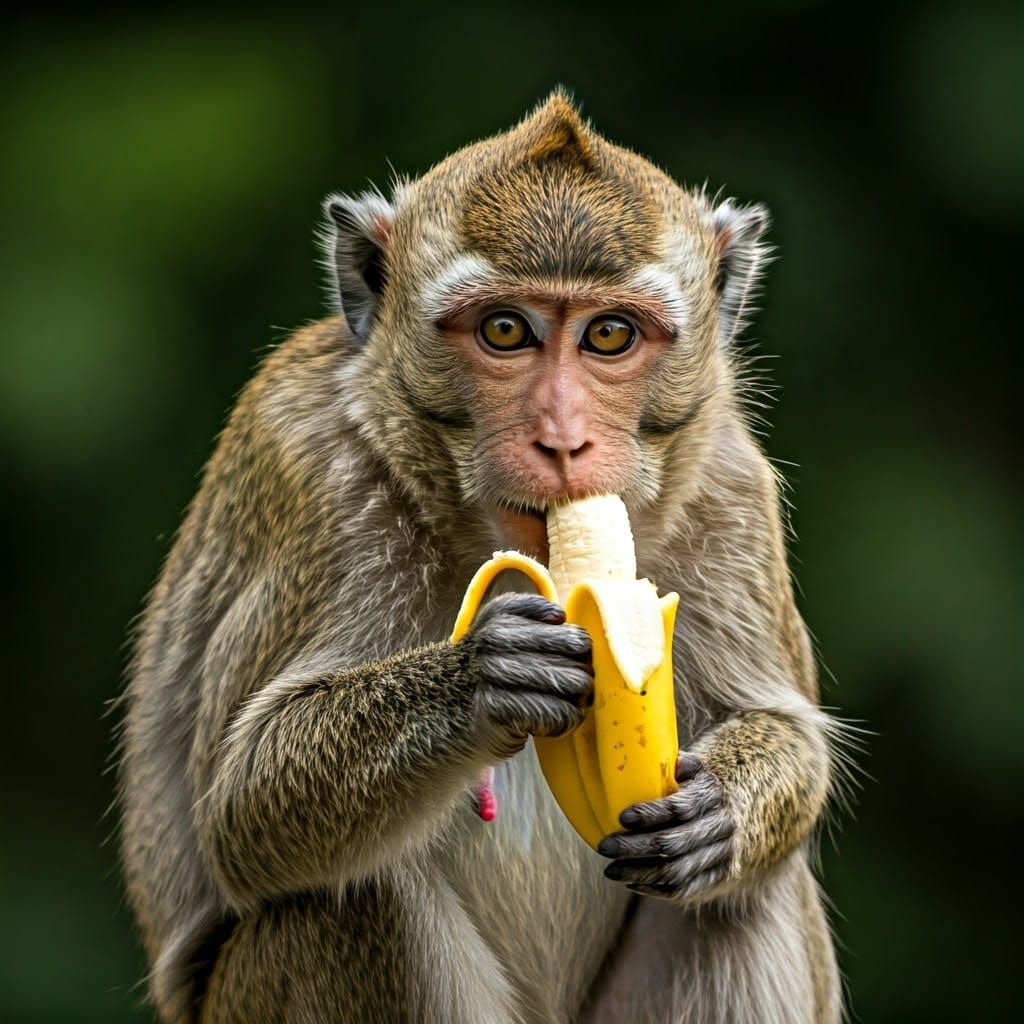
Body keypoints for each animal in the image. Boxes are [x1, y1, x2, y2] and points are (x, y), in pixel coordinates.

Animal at [117, 90, 843, 1024]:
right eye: (505, 330)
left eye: (610, 336)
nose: (563, 440)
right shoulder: (310, 473)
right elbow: (241, 811)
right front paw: (485, 675)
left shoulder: (731, 488)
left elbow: (791, 735)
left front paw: (718, 807)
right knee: (351, 899)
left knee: (744, 899)